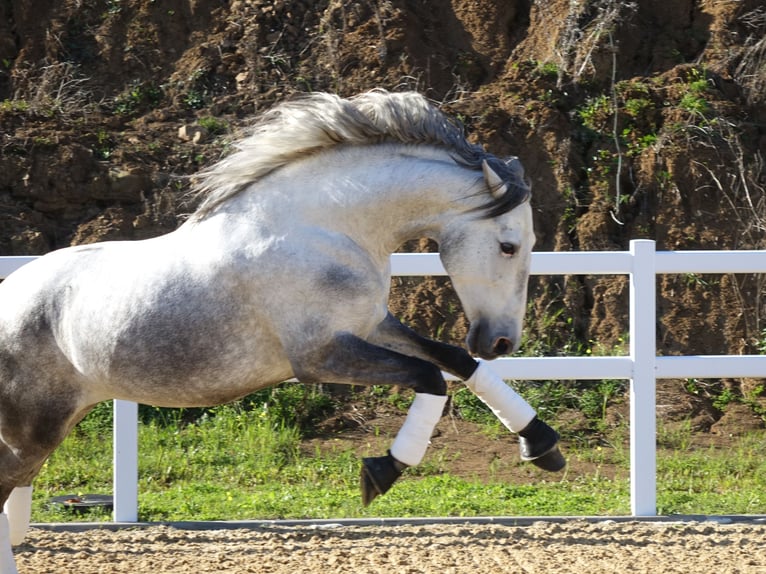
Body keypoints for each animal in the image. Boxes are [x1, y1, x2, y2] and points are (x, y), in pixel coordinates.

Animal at [0, 90, 564, 572]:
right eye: (510, 245)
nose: (501, 341)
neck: (324, 228)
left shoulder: (371, 325)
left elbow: (455, 363)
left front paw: (542, 446)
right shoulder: (320, 356)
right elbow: (430, 378)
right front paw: (381, 472)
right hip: (35, 429)